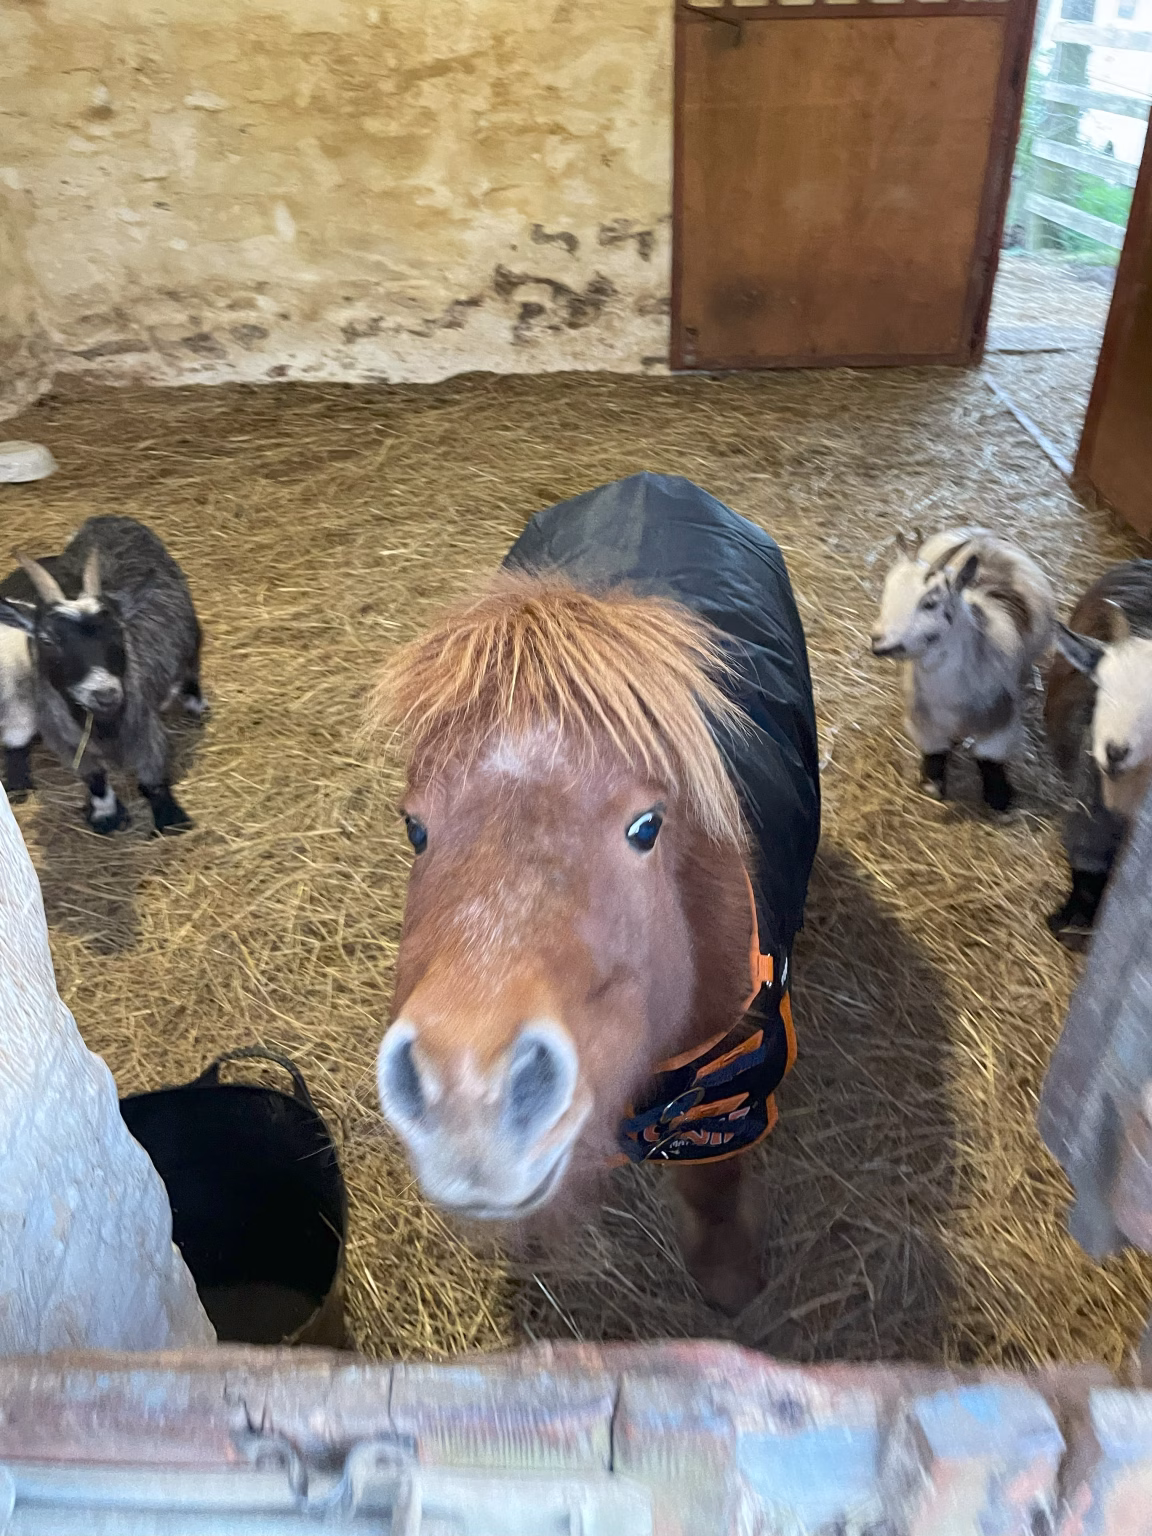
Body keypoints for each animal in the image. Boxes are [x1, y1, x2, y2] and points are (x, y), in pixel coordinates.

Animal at [0, 516, 203, 835]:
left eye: (118, 629)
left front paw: (170, 820)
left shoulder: (145, 728)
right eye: (47, 640)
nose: (105, 694)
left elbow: (152, 779)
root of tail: (107, 518)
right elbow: (95, 780)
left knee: (190, 664)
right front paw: (106, 815)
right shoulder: (67, 742)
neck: (101, 725)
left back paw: (195, 703)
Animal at [371, 473, 820, 1312]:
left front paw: (730, 1282)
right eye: (416, 828)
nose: (468, 1089)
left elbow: (714, 1188)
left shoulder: (725, 1096)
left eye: (646, 826)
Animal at [871, 527, 1056, 812]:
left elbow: (990, 758)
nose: (878, 641)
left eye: (930, 603)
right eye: (887, 594)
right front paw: (931, 785)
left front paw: (999, 797)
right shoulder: (923, 721)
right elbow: (935, 752)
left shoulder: (999, 720)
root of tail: (982, 535)